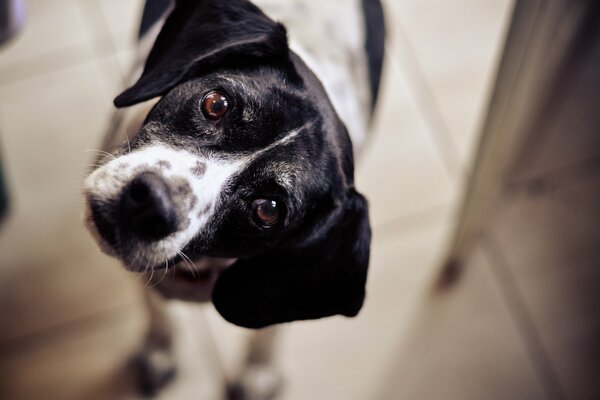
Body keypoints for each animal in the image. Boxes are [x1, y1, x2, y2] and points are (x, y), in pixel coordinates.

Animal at [83, 0, 384, 396]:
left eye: (268, 209)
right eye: (216, 104)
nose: (151, 203)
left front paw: (257, 375)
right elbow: (156, 311)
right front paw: (159, 352)